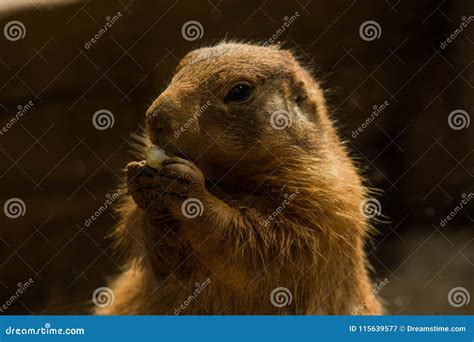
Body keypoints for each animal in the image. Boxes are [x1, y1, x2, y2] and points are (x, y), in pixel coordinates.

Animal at [94, 42, 384, 316]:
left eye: (239, 91)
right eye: (181, 67)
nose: (155, 118)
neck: (226, 181)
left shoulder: (326, 204)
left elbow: (267, 246)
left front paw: (188, 190)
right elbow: (166, 263)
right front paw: (143, 183)